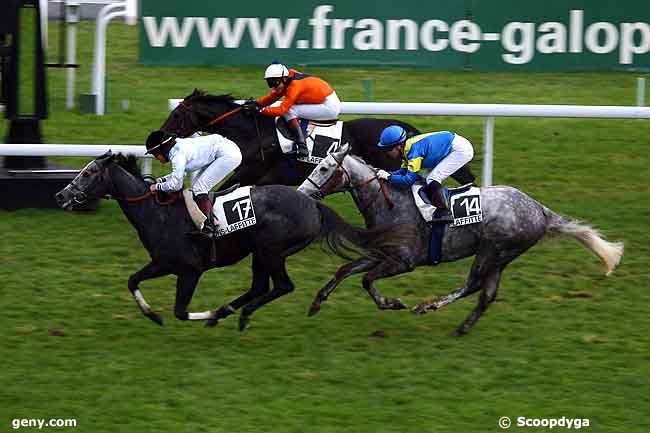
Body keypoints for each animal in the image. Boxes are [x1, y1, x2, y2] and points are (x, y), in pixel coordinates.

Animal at [55, 153, 398, 330]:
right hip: (260, 253)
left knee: (281, 286)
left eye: (88, 174)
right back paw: (230, 312)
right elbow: (132, 281)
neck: (158, 213)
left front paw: (204, 314)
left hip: (270, 250)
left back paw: (232, 315)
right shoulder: (162, 263)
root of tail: (312, 203)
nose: (60, 195)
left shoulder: (189, 270)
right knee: (261, 287)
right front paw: (152, 314)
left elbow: (180, 311)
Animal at [158, 88, 420, 188]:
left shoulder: (249, 173)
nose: (162, 136)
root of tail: (405, 128)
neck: (254, 133)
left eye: (177, 115)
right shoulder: (262, 179)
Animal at [298, 145, 624, 334]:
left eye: (324, 168)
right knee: (486, 293)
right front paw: (316, 302)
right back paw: (463, 326)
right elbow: (345, 270)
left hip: (492, 250)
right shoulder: (382, 253)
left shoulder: (403, 261)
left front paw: (392, 303)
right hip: (501, 257)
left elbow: (367, 280)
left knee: (474, 285)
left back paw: (428, 306)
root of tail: (540, 210)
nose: (303, 192)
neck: (390, 203)